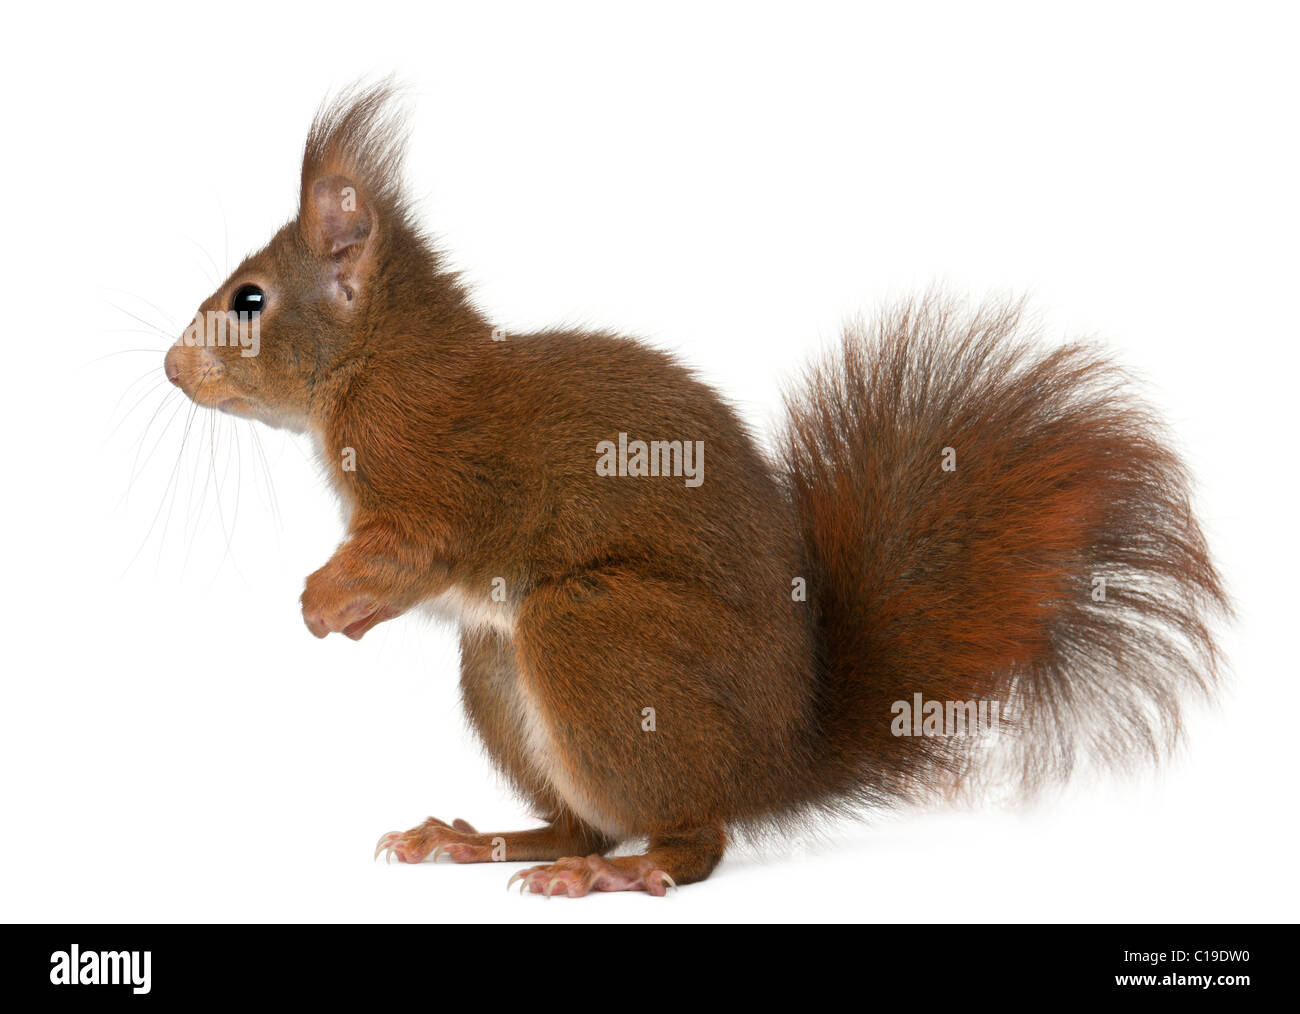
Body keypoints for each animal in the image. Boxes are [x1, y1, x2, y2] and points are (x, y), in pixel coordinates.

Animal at [162, 85, 1227, 894]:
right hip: (497, 666)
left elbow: (416, 548)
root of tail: (775, 765)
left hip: (592, 636)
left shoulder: (441, 474)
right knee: (587, 821)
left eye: (249, 302)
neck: (378, 361)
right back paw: (487, 842)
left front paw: (324, 598)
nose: (173, 368)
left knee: (693, 838)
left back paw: (622, 872)